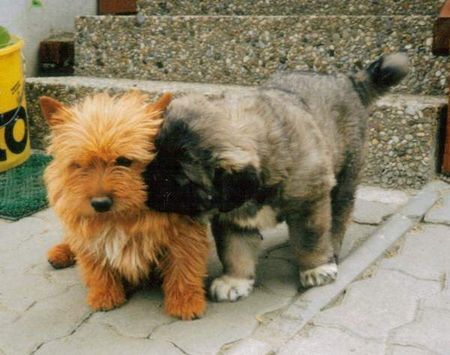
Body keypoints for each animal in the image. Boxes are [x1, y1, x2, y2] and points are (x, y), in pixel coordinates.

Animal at [143, 53, 408, 304]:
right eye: (154, 162)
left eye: (179, 180)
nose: (146, 188)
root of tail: (346, 79)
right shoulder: (230, 216)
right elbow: (233, 250)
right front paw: (235, 281)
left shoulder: (309, 202)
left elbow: (310, 238)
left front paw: (315, 268)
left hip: (346, 174)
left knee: (339, 214)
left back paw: (332, 249)